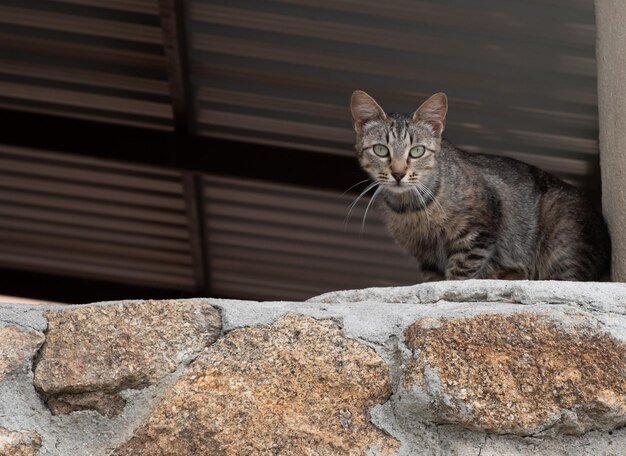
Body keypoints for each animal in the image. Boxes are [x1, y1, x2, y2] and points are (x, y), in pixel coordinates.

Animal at [352, 90, 608, 280]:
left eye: (417, 151)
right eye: (381, 150)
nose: (397, 173)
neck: (410, 208)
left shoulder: (478, 232)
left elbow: (460, 274)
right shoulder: (426, 260)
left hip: (563, 248)